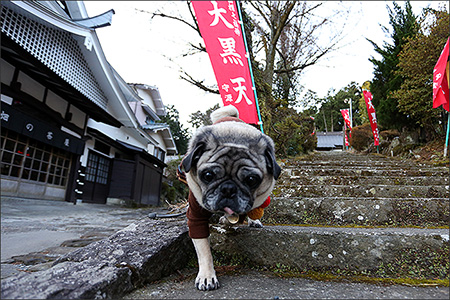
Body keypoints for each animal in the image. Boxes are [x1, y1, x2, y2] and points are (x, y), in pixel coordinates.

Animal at [180, 105, 280, 290]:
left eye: (251, 180)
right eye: (208, 175)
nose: (228, 189)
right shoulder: (196, 216)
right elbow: (204, 250)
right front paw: (207, 276)